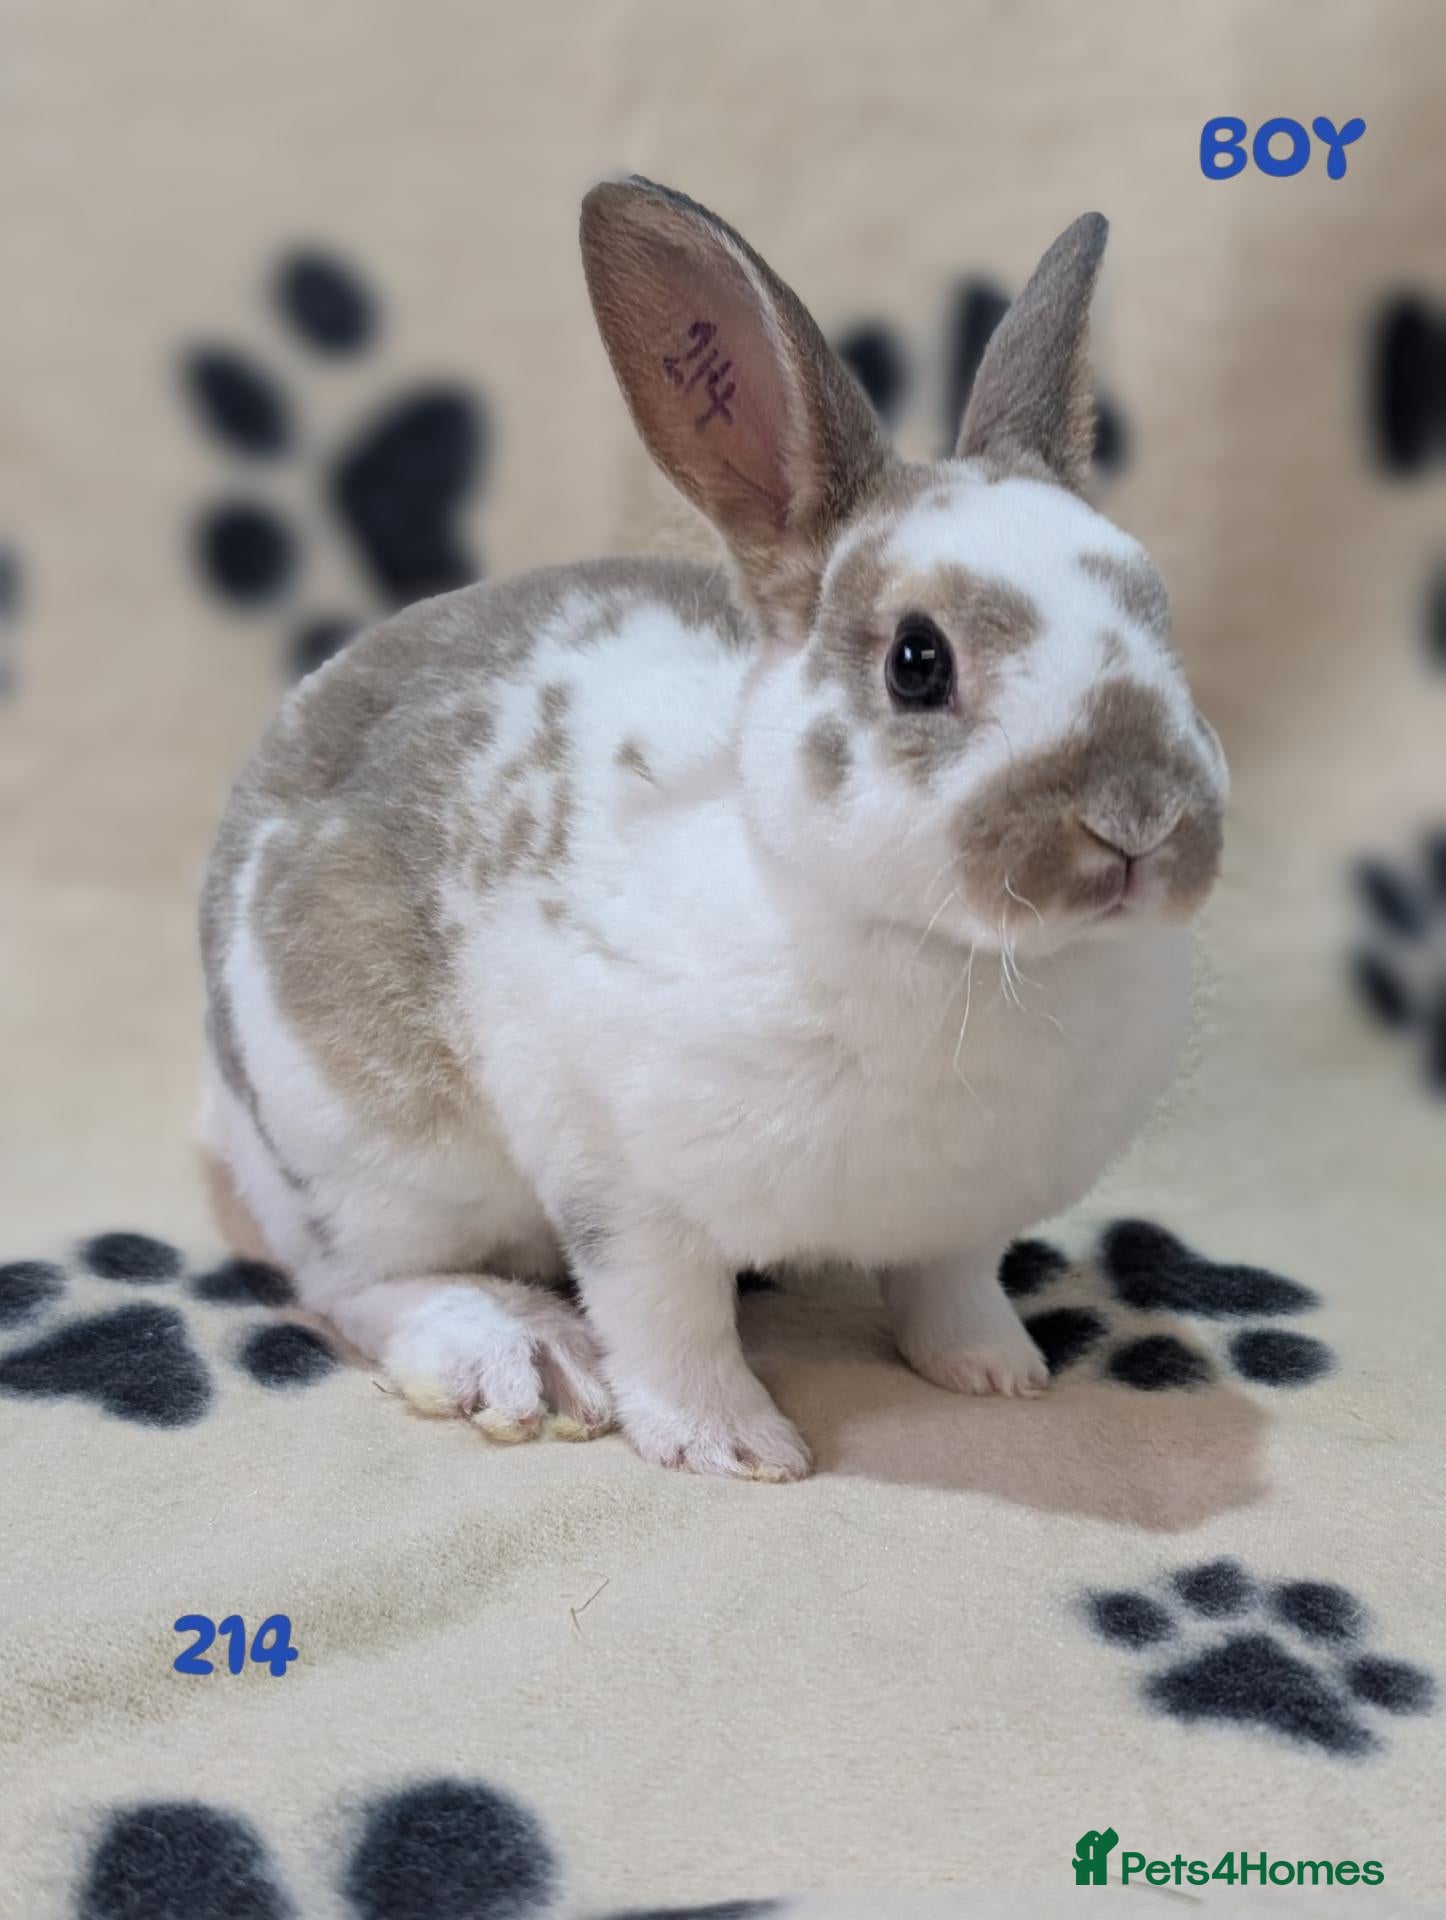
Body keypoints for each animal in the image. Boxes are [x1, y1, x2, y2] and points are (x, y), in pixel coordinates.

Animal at [199, 177, 1227, 1480]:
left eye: (1161, 617)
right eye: (917, 661)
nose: (1139, 818)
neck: (957, 960)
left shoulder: (961, 1220)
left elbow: (950, 1285)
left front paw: (998, 1373)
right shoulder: (624, 1191)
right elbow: (665, 1317)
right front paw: (731, 1445)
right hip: (368, 1147)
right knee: (354, 1282)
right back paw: (519, 1354)